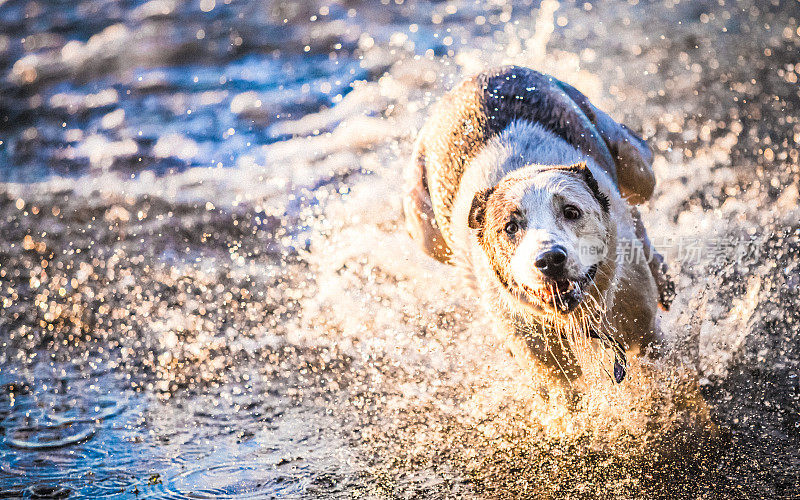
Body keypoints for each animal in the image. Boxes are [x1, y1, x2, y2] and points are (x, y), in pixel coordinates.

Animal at [404, 66, 672, 384]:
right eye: (510, 227)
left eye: (571, 212)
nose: (549, 259)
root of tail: (477, 76)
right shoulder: (549, 370)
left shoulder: (647, 337)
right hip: (425, 232)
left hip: (636, 167)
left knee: (634, 195)